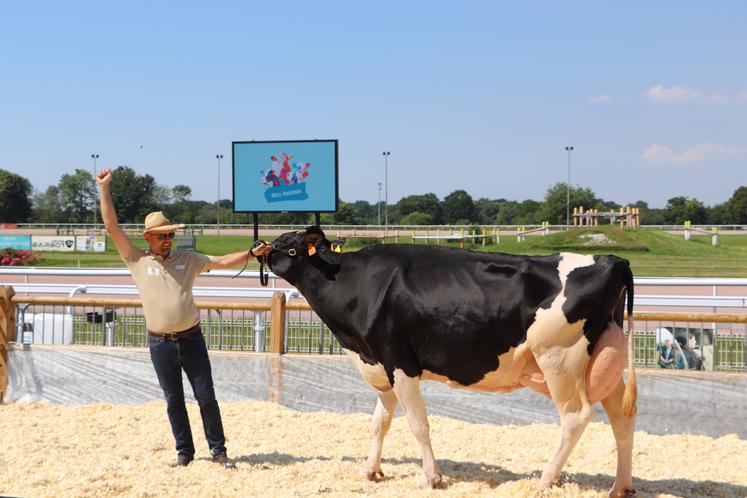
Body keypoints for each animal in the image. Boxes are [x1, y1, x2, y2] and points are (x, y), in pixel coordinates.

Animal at [268, 228, 636, 496]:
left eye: (290, 245)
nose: (262, 249)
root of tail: (613, 260)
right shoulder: (381, 363)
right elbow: (379, 423)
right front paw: (370, 470)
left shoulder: (399, 360)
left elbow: (418, 424)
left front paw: (431, 477)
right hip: (603, 362)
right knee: (622, 416)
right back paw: (621, 486)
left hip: (559, 359)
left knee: (576, 416)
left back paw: (545, 481)